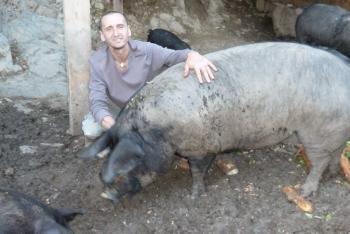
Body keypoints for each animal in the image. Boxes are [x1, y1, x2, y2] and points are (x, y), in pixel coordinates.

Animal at [80, 42, 350, 203]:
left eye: (132, 161)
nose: (105, 192)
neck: (162, 133)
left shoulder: (200, 147)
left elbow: (198, 171)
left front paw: (193, 196)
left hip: (316, 132)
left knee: (319, 162)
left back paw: (306, 191)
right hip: (334, 130)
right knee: (336, 153)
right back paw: (333, 174)